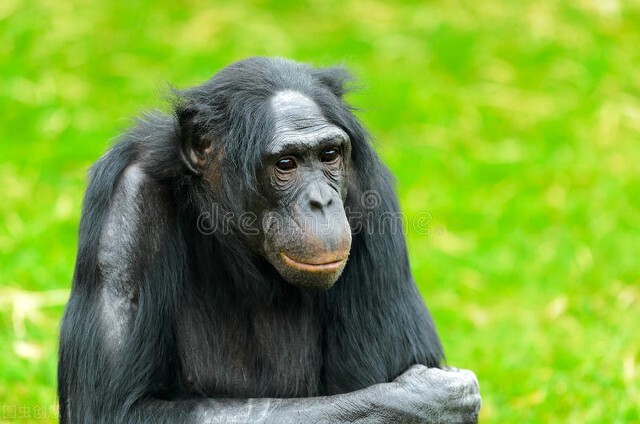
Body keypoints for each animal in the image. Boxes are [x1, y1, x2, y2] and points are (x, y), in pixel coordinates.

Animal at [58, 57, 480, 424]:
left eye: (329, 154)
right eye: (286, 164)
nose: (322, 201)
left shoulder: (374, 196)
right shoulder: (125, 210)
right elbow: (117, 408)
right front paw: (420, 401)